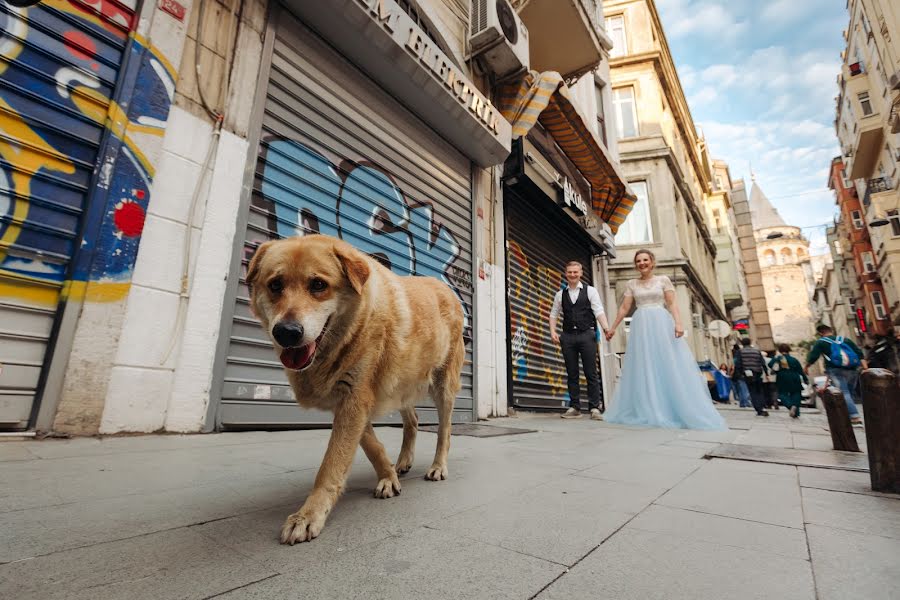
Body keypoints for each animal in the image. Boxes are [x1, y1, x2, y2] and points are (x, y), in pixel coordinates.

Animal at [246, 233, 464, 544]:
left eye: (318, 285)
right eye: (275, 285)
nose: (287, 333)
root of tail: (443, 286)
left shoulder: (354, 400)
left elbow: (331, 465)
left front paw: (308, 515)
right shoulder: (350, 400)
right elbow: (369, 444)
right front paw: (388, 476)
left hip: (443, 384)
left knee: (444, 430)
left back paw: (438, 466)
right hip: (401, 383)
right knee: (412, 421)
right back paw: (403, 461)